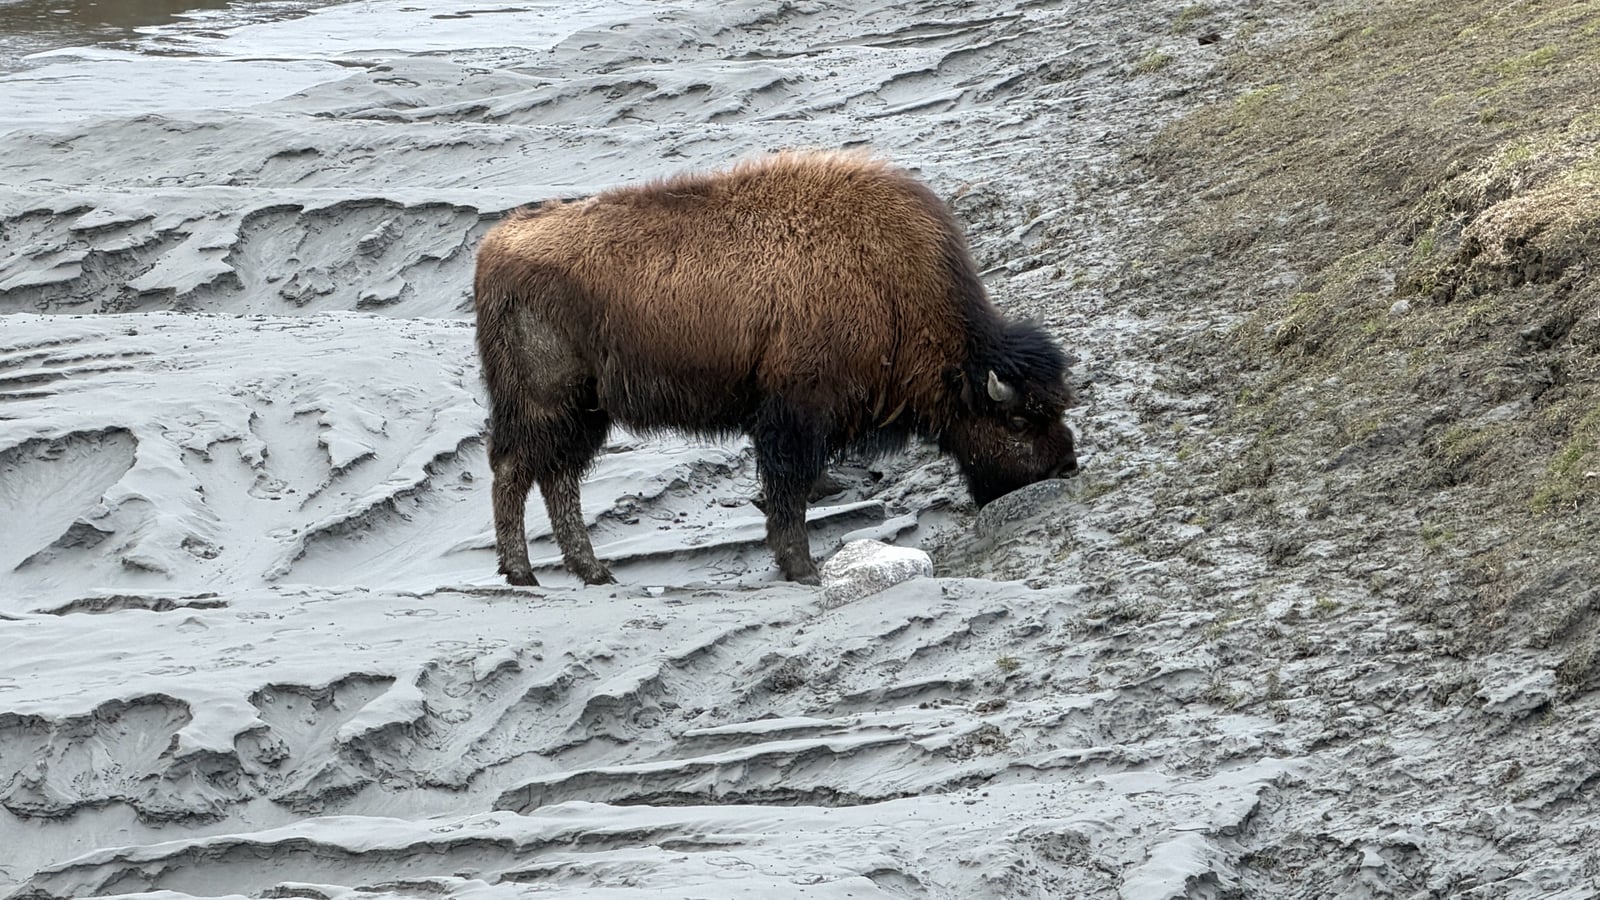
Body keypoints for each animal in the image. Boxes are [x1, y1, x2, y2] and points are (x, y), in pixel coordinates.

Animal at [474, 151, 1077, 586]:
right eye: (1016, 421)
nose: (1066, 466)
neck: (890, 287)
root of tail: (494, 245)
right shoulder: (794, 417)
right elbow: (788, 492)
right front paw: (802, 569)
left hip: (585, 412)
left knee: (557, 479)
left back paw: (592, 572)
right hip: (546, 403)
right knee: (515, 471)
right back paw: (523, 573)